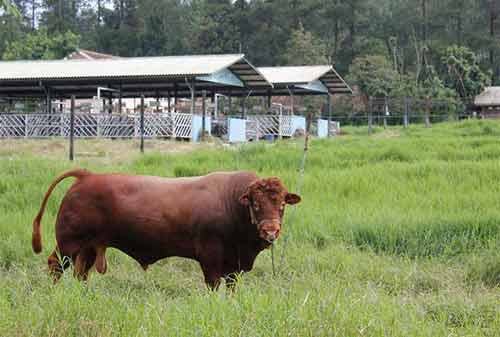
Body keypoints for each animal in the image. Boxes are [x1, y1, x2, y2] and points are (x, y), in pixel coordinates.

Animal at [33, 169, 302, 288]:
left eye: (281, 205)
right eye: (256, 204)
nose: (270, 232)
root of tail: (87, 176)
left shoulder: (233, 265)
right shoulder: (211, 256)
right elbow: (213, 284)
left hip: (88, 247)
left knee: (80, 273)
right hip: (69, 244)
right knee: (55, 265)